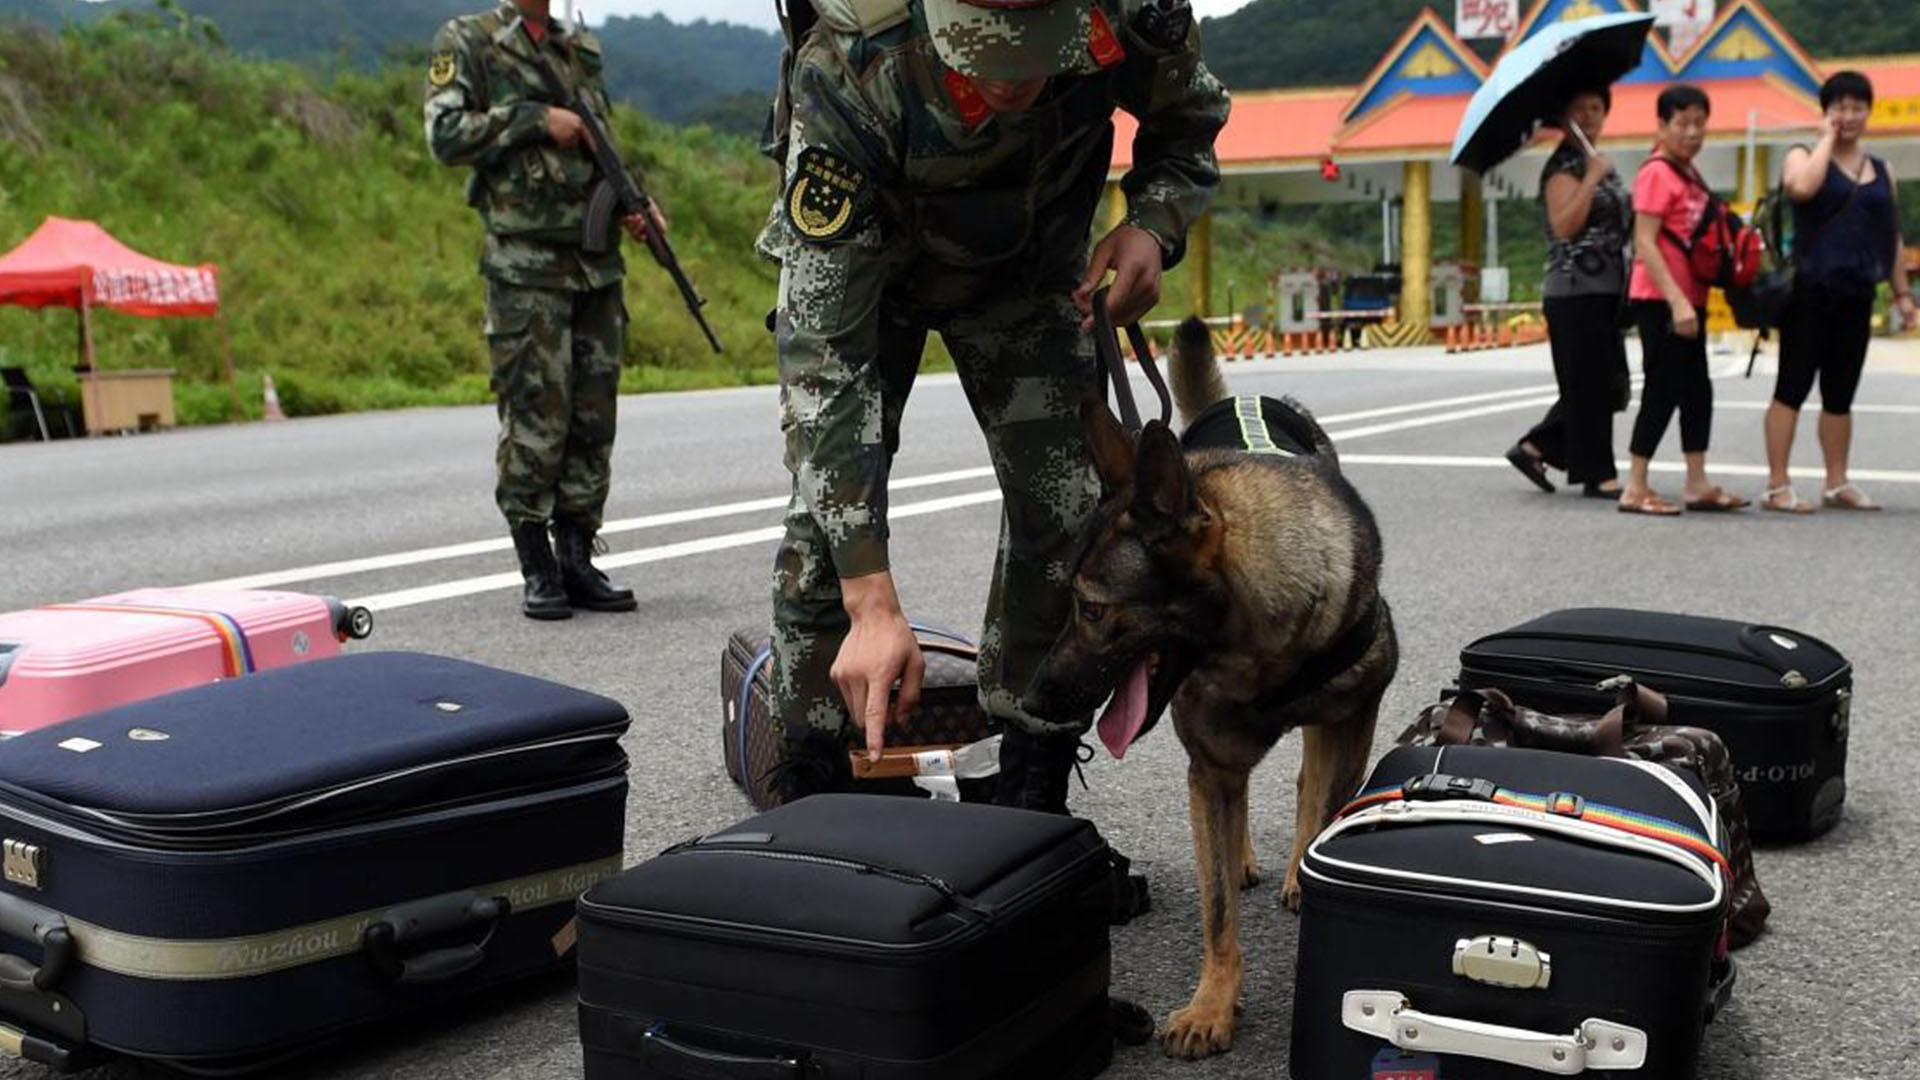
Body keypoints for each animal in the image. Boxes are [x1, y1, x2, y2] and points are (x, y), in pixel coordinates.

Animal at [1021, 320, 1397, 1060]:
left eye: (1095, 610)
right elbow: (1218, 906)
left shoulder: (1351, 724)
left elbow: (1321, 806)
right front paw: (1213, 1005)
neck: (1262, 653)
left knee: (1307, 781)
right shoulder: (1212, 767)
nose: (1034, 701)